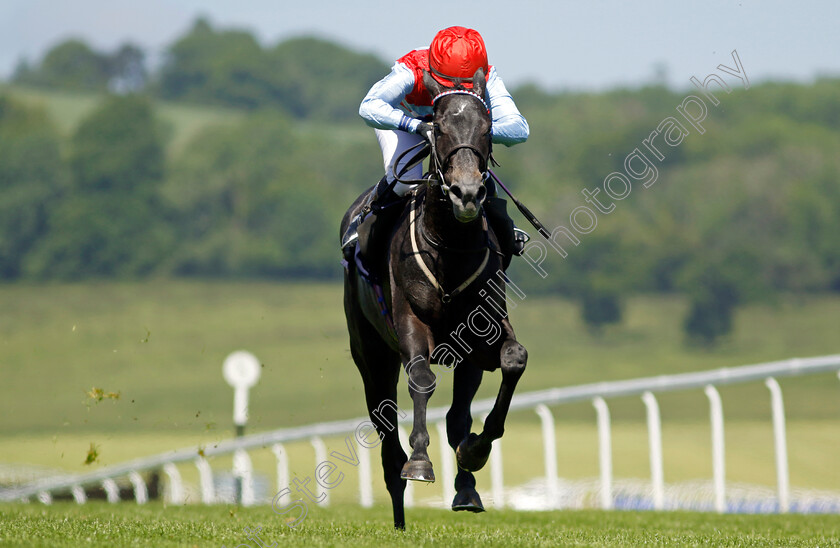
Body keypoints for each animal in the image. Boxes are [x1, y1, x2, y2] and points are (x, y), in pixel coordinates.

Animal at [340, 66, 524, 528]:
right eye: (438, 128)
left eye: (488, 126)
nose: (467, 194)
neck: (450, 248)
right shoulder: (410, 323)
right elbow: (421, 379)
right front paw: (421, 460)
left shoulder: (482, 333)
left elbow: (514, 360)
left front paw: (476, 451)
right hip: (371, 356)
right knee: (387, 436)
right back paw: (399, 513)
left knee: (458, 415)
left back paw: (466, 487)